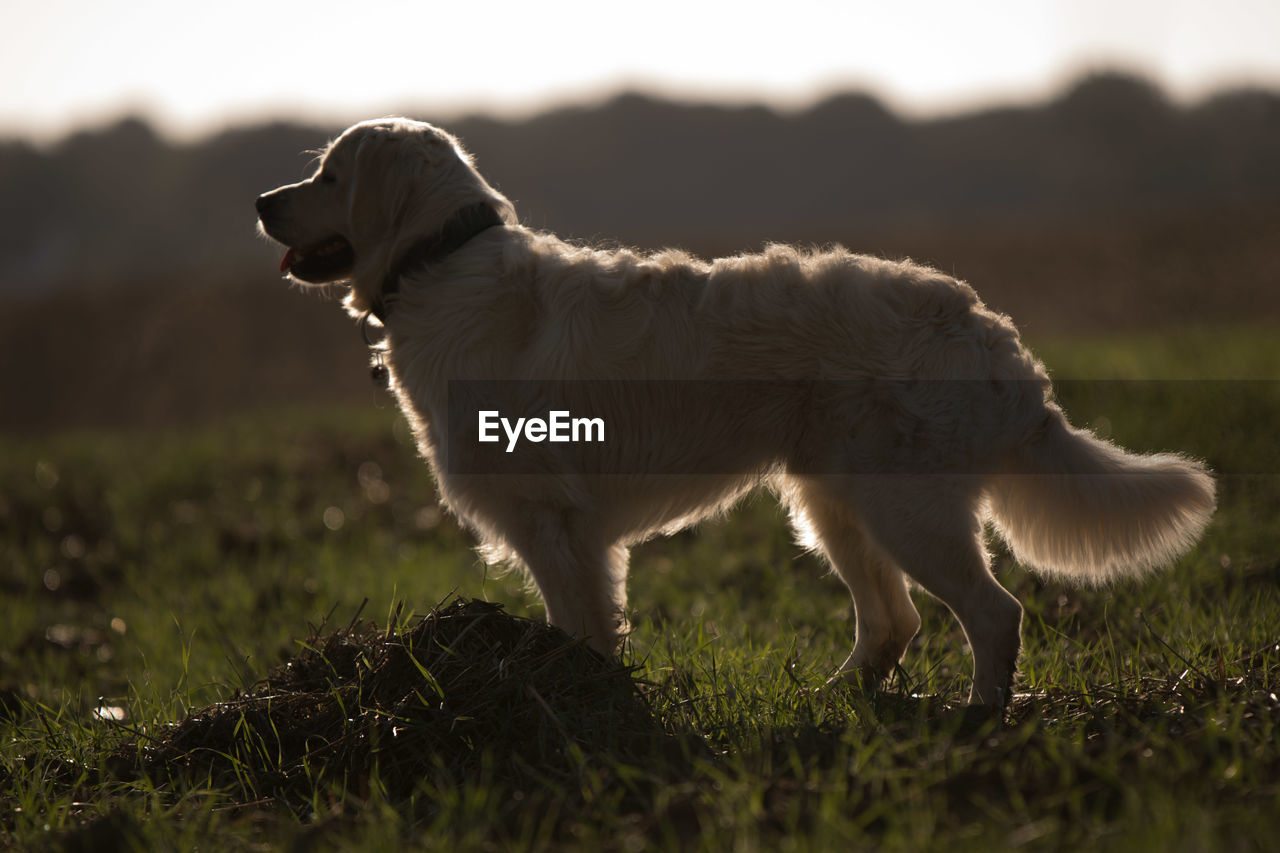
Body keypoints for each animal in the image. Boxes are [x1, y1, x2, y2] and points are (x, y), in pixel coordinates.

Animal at [252, 117, 1218, 701]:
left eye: (327, 174)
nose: (260, 202)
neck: (441, 261)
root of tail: (990, 333)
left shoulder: (552, 522)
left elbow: (581, 628)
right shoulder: (571, 531)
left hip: (907, 508)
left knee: (993, 613)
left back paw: (981, 720)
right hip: (834, 504)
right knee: (894, 621)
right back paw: (834, 703)